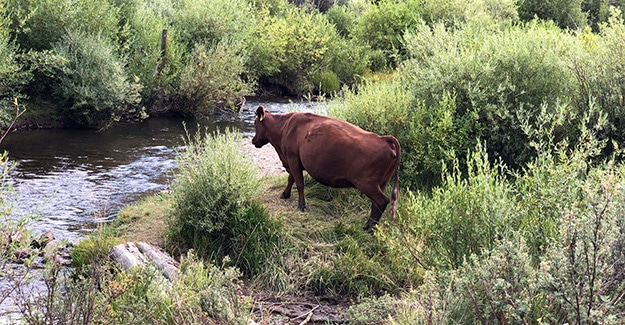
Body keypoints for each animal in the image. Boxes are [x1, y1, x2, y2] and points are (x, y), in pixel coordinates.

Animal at [250, 105, 400, 229]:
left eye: (255, 123)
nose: (253, 140)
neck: (284, 127)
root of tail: (384, 139)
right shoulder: (293, 160)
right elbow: (290, 179)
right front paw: (285, 194)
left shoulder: (292, 158)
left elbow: (299, 183)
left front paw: (301, 206)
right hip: (382, 183)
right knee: (376, 204)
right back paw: (372, 226)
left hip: (366, 183)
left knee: (382, 201)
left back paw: (369, 226)